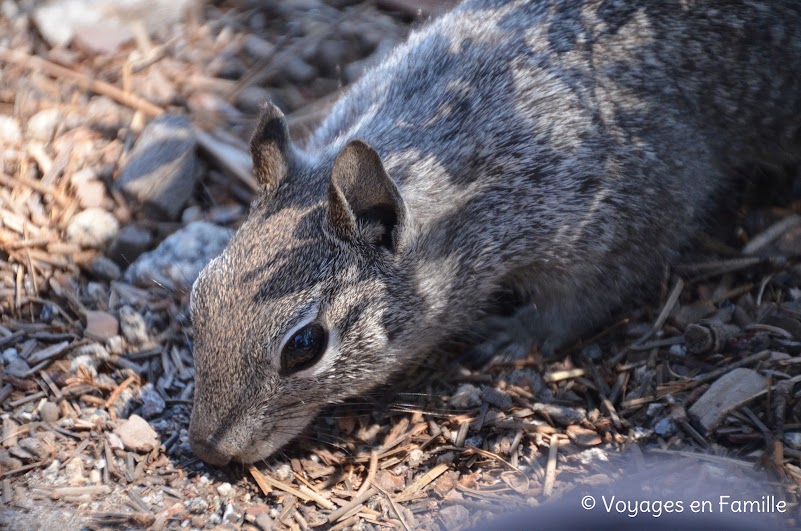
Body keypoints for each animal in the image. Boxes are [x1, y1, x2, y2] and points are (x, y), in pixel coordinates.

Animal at [189, 0, 800, 466]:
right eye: (198, 298)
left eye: (305, 347)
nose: (207, 448)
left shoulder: (623, 222)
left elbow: (581, 303)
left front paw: (516, 336)